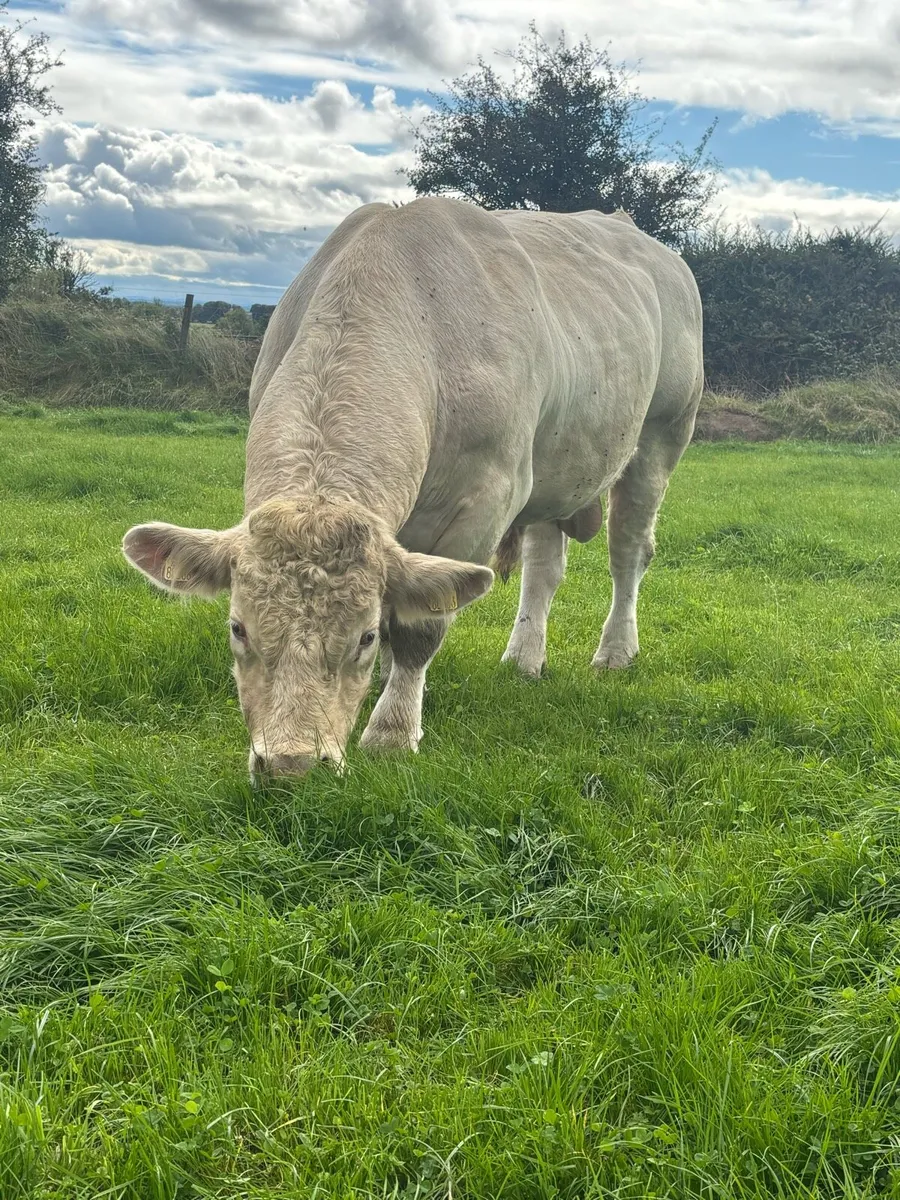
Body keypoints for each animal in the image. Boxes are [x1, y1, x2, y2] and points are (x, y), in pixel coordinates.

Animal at [122, 197, 703, 779]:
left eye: (362, 637)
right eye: (237, 628)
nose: (291, 763)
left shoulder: (485, 502)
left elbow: (420, 629)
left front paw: (393, 731)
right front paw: (385, 684)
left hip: (663, 433)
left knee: (628, 551)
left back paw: (615, 652)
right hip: (555, 467)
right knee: (544, 567)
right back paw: (524, 658)